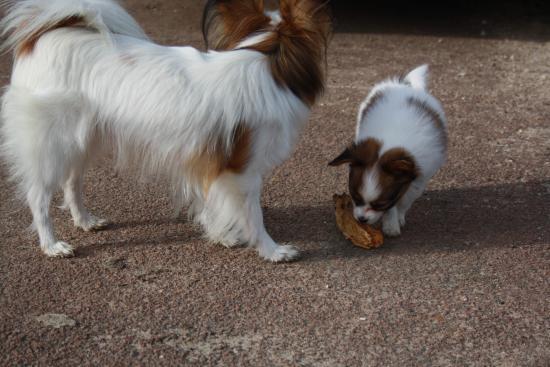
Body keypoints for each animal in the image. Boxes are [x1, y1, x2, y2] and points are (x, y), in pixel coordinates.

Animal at [0, 0, 332, 264]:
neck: (268, 60)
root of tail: (42, 36)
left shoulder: (210, 164)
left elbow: (213, 201)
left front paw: (221, 235)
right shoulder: (242, 170)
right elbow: (253, 215)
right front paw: (273, 251)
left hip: (83, 138)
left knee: (72, 181)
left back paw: (85, 221)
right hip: (52, 142)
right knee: (38, 195)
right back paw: (52, 245)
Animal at [330, 66, 446, 237]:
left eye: (380, 205)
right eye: (355, 198)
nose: (361, 219)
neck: (388, 147)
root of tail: (404, 85)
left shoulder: (417, 180)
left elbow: (403, 201)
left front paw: (395, 220)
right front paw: (391, 222)